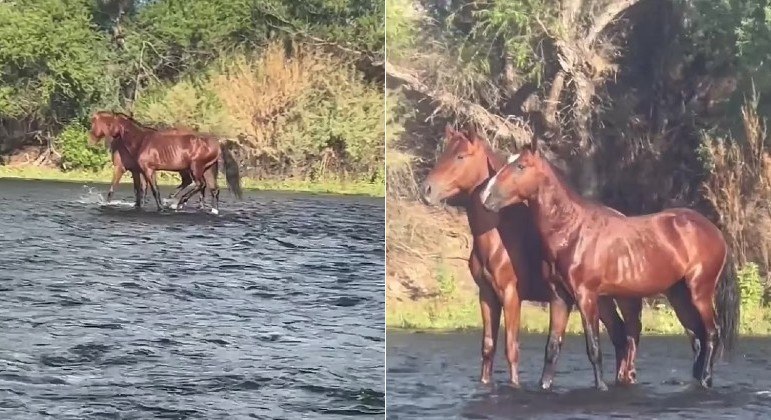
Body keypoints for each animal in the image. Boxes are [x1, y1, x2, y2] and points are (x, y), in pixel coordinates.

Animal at [86, 110, 241, 213]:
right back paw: (212, 210)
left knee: (200, 185)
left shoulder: (146, 169)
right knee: (213, 189)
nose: (91, 140)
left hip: (195, 168)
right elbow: (141, 190)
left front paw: (160, 207)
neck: (141, 141)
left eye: (94, 123)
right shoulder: (142, 170)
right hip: (208, 169)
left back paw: (178, 203)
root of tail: (217, 142)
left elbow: (154, 190)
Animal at [420, 125, 644, 390]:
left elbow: (511, 348)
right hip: (601, 299)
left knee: (630, 336)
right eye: (445, 153)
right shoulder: (487, 295)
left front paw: (515, 385)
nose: (426, 190)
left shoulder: (510, 295)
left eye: (460, 156)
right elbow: (488, 347)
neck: (500, 235)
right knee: (619, 336)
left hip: (622, 298)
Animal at [482, 146, 740, 388]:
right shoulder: (559, 297)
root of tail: (715, 232)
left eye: (521, 166)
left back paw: (706, 379)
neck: (571, 231)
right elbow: (552, 347)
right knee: (697, 337)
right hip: (679, 296)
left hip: (700, 292)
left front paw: (601, 386)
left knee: (711, 333)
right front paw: (544, 385)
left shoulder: (586, 296)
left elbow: (594, 347)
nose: (486, 196)